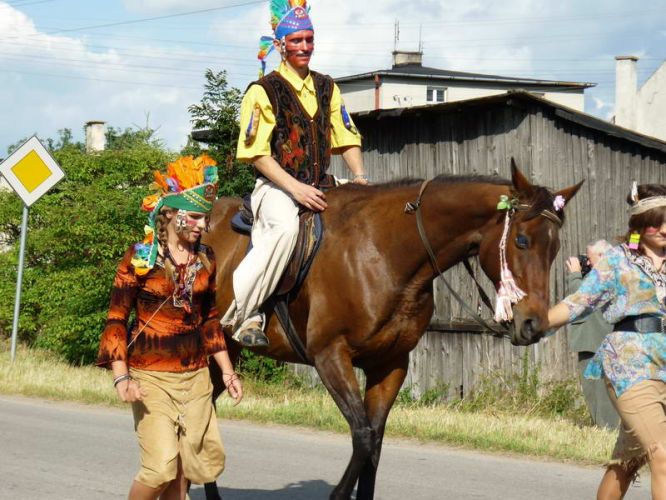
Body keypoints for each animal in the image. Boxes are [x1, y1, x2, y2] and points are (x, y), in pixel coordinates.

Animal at [204, 161, 580, 500]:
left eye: (555, 248)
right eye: (521, 240)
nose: (533, 324)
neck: (382, 253)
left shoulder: (390, 364)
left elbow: (375, 444)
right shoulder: (330, 356)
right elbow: (363, 436)